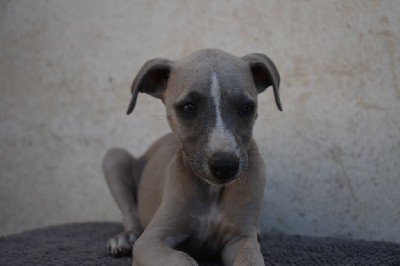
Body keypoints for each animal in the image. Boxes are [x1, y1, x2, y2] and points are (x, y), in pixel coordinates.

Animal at [104, 48, 282, 264]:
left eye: (247, 107)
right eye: (188, 107)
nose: (225, 166)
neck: (212, 190)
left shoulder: (240, 239)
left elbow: (250, 259)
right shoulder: (152, 238)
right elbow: (181, 258)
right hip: (114, 157)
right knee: (131, 214)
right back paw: (125, 237)